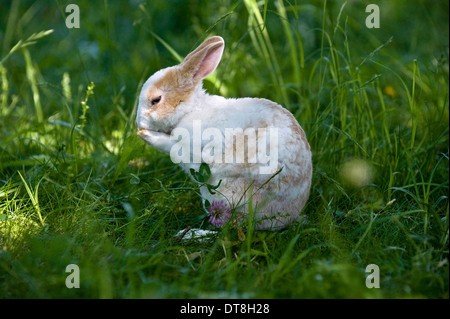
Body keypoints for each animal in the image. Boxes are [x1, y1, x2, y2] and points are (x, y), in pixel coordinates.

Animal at [136, 36, 312, 231]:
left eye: (156, 100)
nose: (139, 123)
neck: (190, 110)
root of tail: (288, 216)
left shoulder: (191, 149)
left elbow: (170, 146)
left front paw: (146, 135)